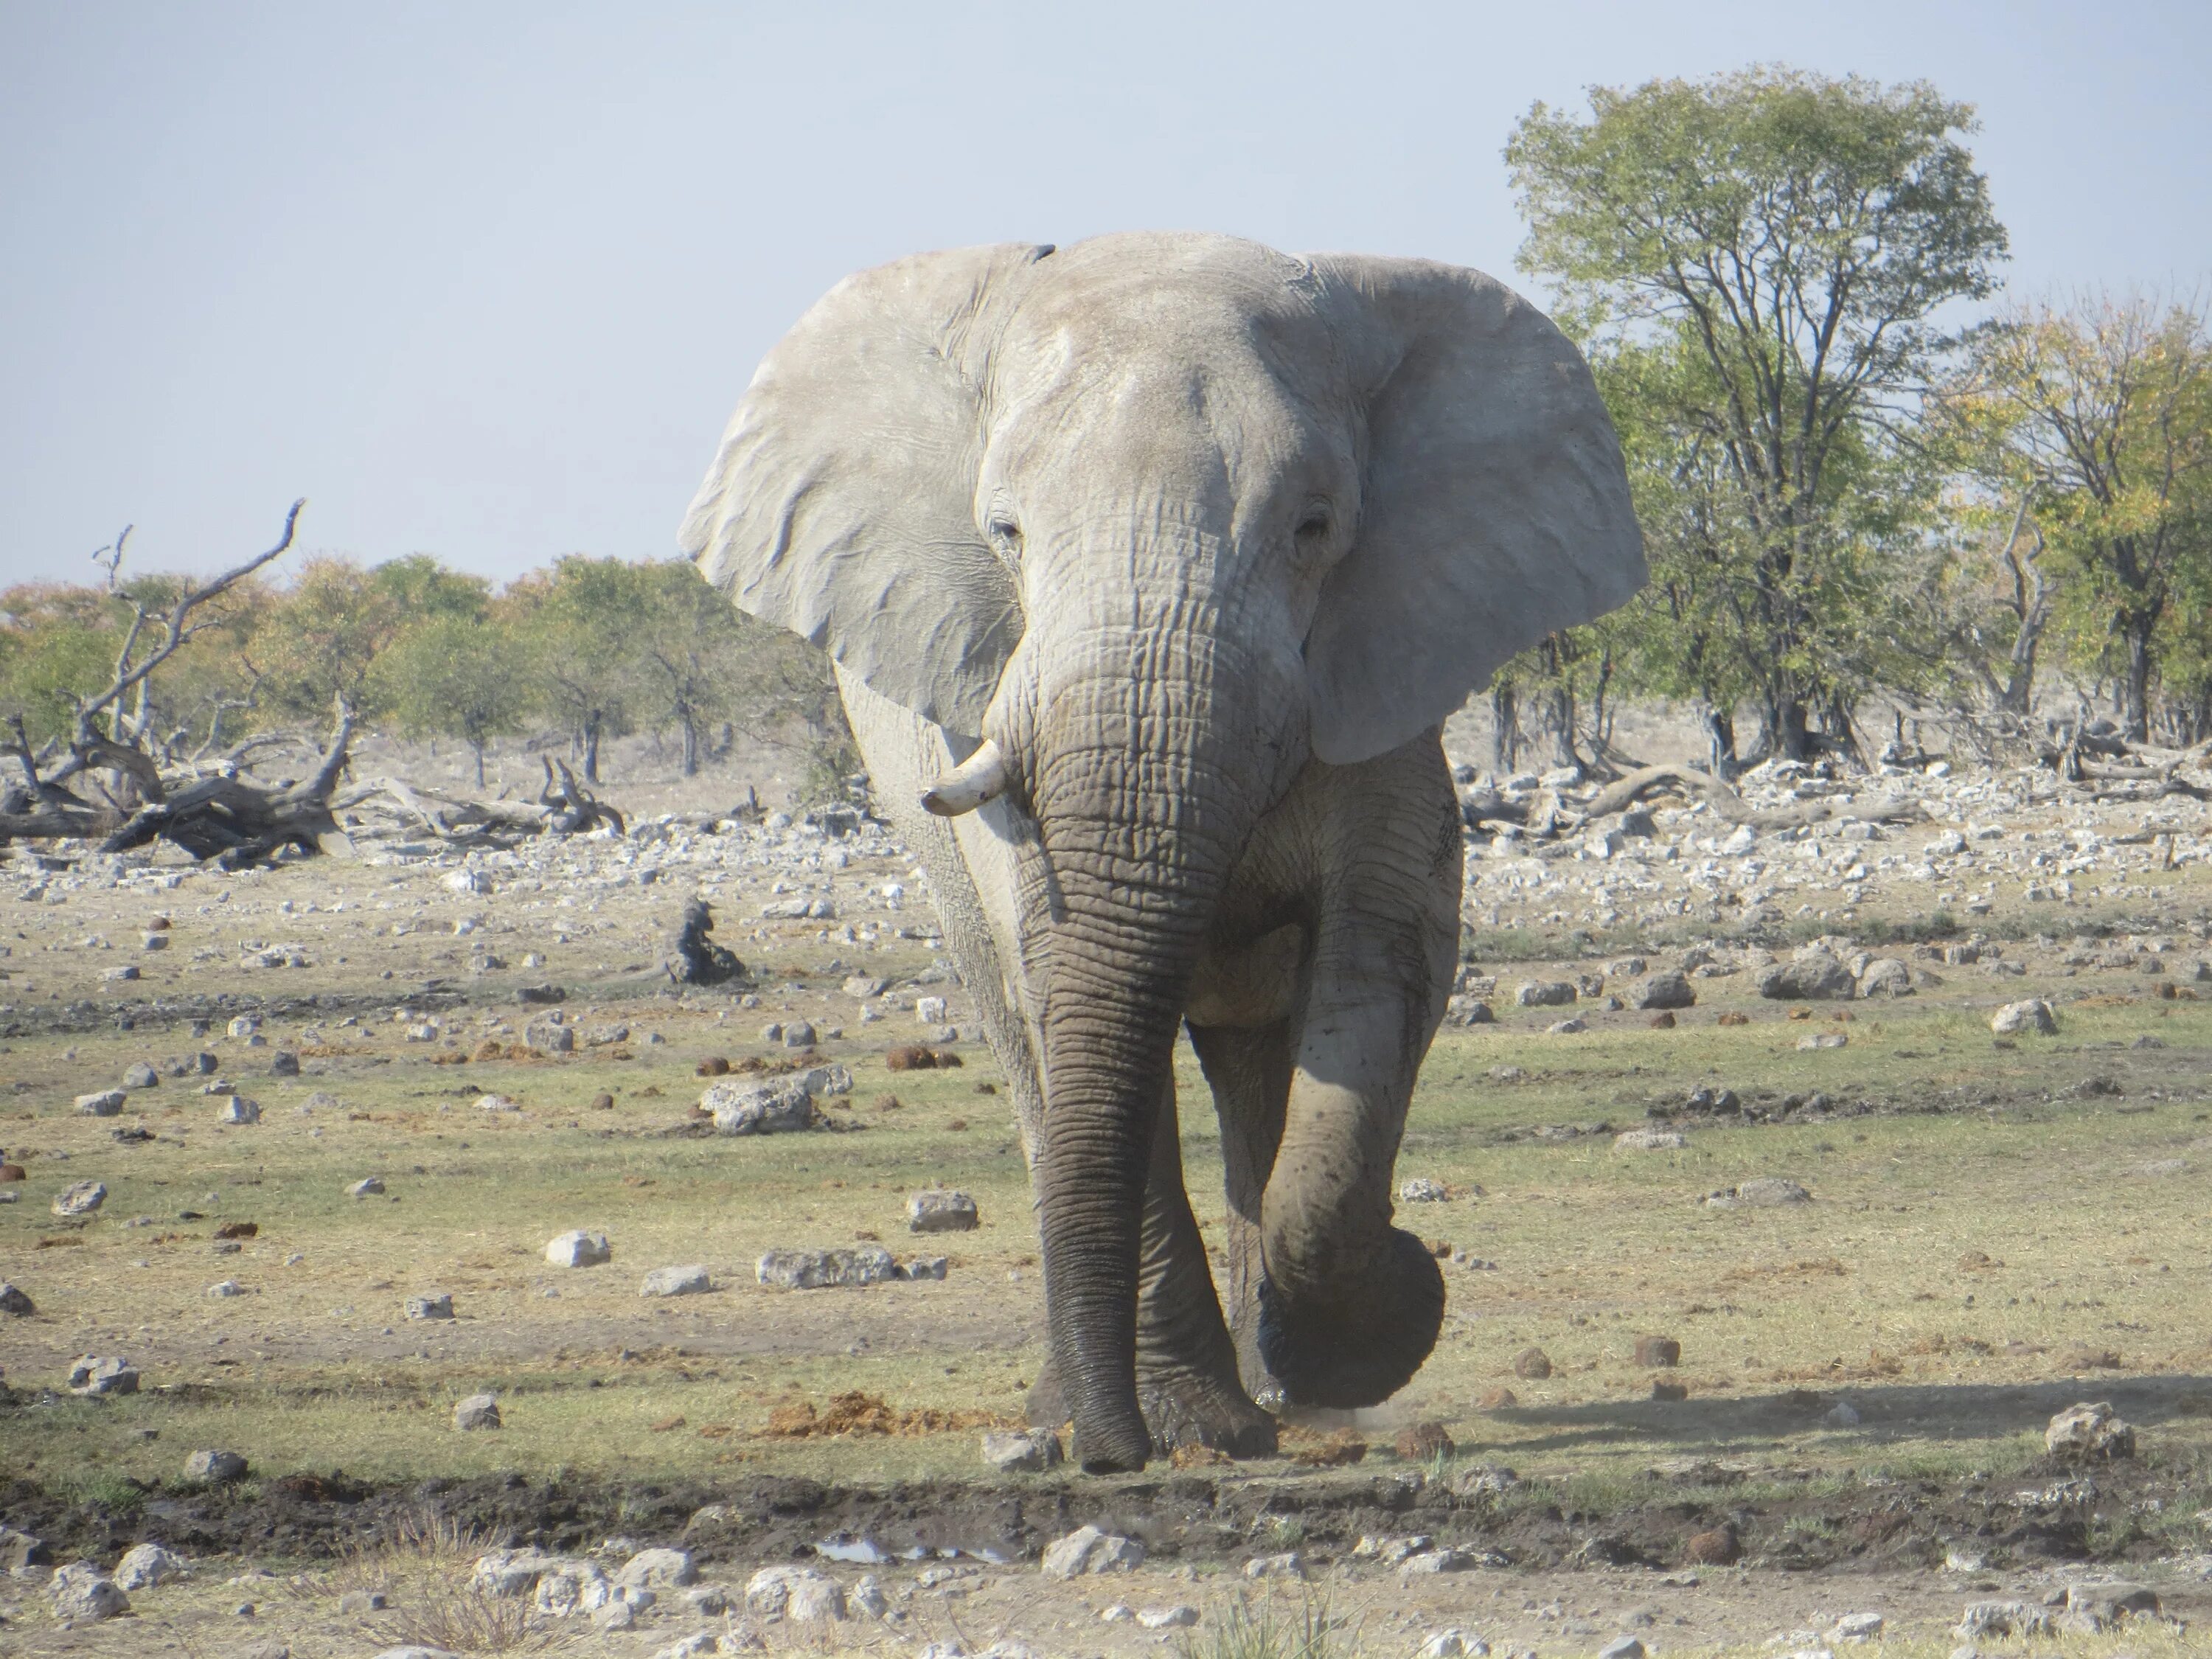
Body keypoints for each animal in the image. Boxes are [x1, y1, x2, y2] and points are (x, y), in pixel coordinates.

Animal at [686, 231, 1646, 1469]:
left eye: (1314, 527)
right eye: (1005, 532)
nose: (1114, 1455)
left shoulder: (1387, 667)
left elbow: (1386, 956)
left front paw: (1372, 1327)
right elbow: (1066, 977)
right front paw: (1198, 1425)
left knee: (1258, 1060)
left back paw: (1288, 1393)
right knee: (1029, 1042)